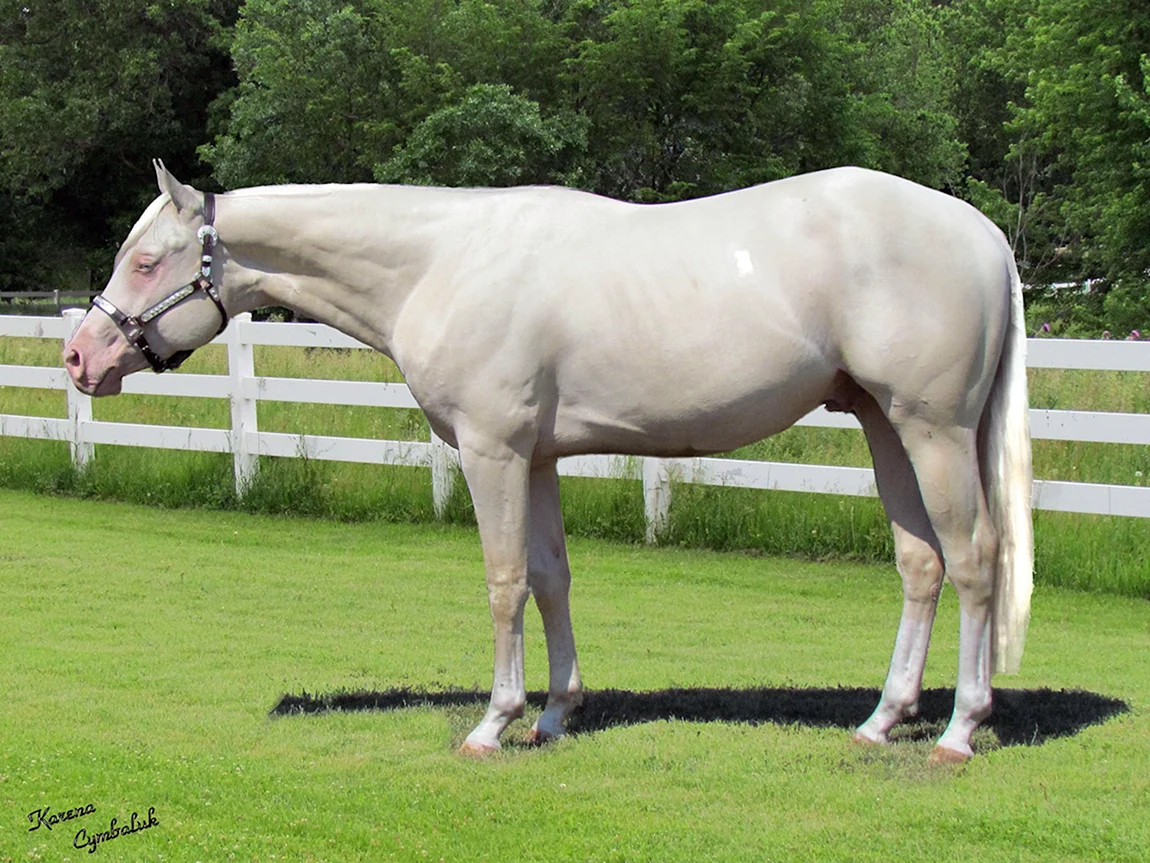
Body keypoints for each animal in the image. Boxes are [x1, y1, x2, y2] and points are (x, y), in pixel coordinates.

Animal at [64, 161, 1033, 763]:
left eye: (146, 260)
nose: (79, 357)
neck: (441, 262)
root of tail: (984, 233)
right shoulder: (535, 457)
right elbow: (551, 575)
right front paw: (559, 714)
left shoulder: (491, 449)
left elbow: (503, 583)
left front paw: (494, 722)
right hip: (883, 423)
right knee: (921, 563)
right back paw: (881, 721)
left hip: (934, 428)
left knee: (975, 560)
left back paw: (959, 730)